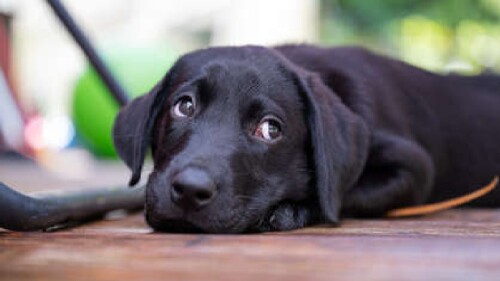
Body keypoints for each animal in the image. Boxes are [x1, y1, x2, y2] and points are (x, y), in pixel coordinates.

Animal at [113, 44, 500, 233]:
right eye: (184, 106)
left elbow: (342, 194)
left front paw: (288, 211)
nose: (190, 190)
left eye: (270, 129)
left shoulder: (414, 169)